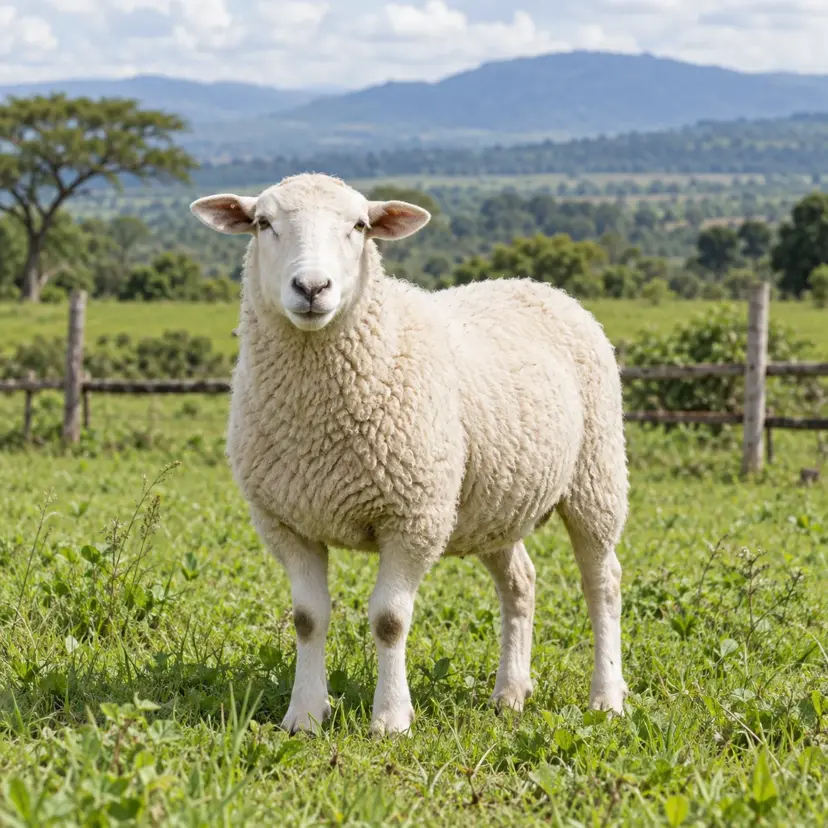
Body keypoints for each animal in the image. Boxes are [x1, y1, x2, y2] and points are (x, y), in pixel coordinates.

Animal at [190, 173, 629, 736]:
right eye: (263, 223)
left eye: (360, 226)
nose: (311, 288)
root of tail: (539, 285)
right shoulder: (286, 521)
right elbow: (308, 618)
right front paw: (304, 716)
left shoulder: (414, 516)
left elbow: (389, 619)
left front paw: (391, 719)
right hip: (493, 503)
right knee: (520, 584)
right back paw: (510, 693)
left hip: (596, 476)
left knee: (602, 584)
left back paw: (607, 697)